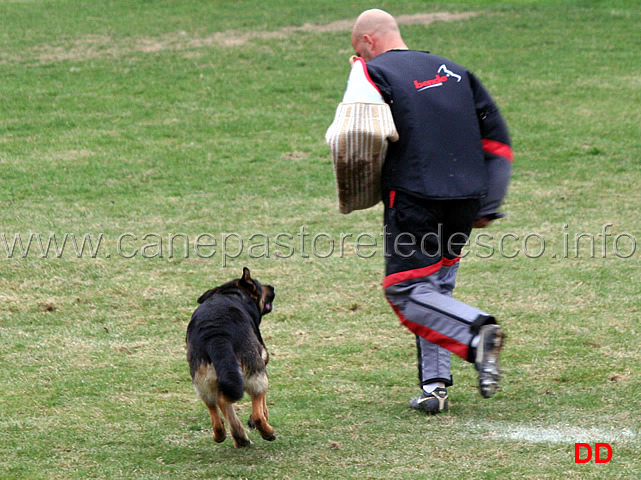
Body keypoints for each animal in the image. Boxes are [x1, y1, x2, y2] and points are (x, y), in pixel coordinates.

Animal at [185, 268, 276, 448]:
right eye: (259, 285)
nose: (272, 287)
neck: (232, 294)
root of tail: (216, 334)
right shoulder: (262, 358)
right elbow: (262, 405)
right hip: (255, 372)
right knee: (256, 410)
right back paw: (266, 432)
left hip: (204, 381)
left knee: (217, 407)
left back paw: (235, 437)